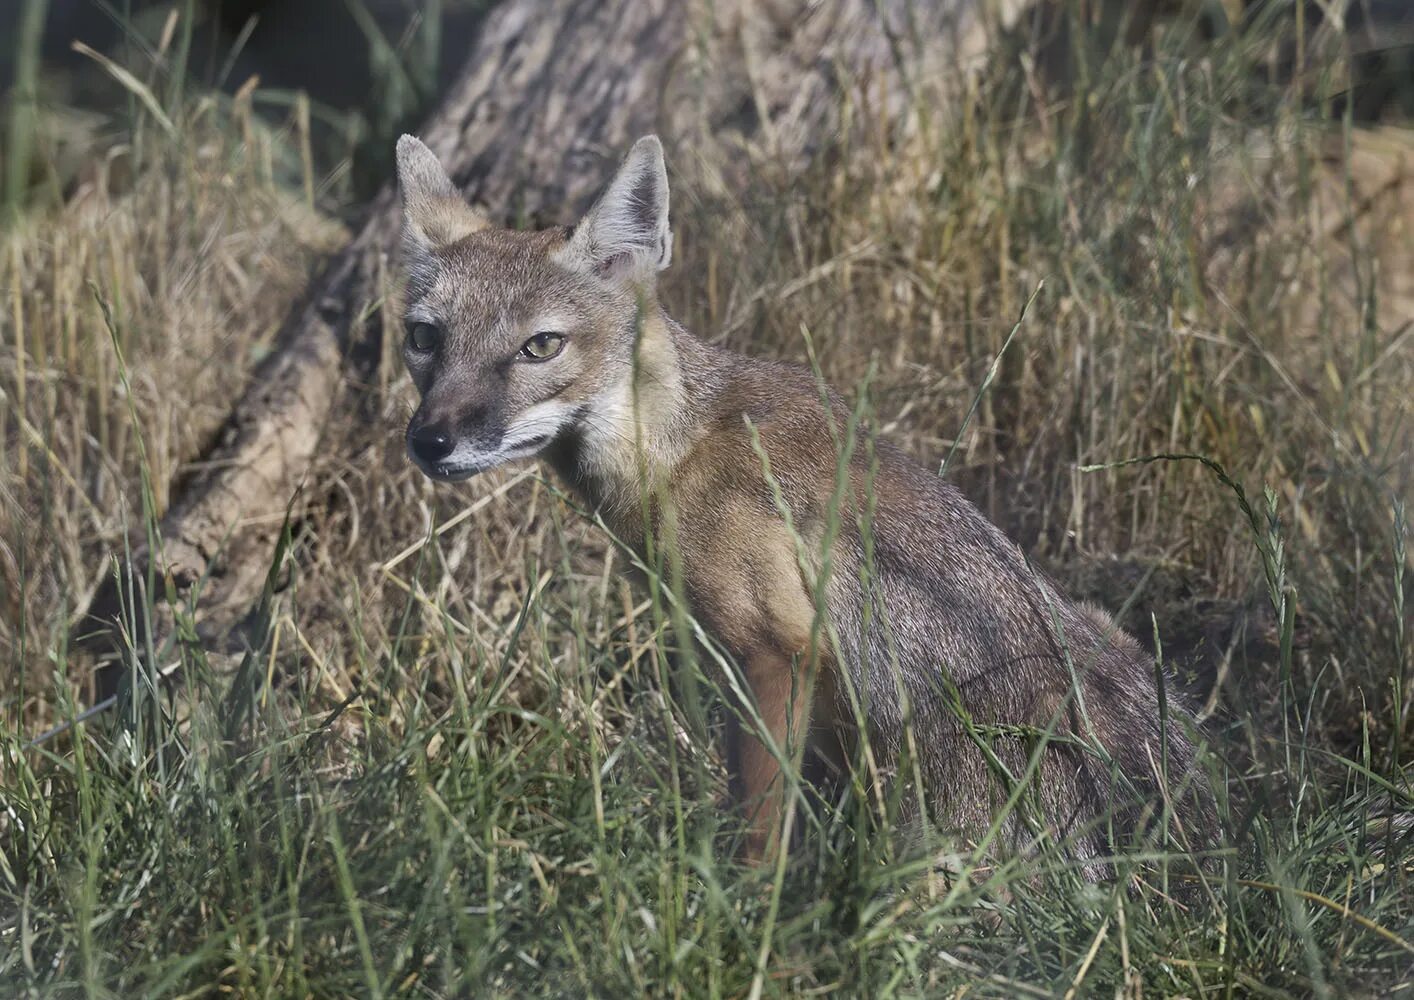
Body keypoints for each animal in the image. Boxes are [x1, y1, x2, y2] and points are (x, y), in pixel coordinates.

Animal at [393, 132, 1215, 875]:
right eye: (425, 339)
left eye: (540, 347)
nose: (429, 442)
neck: (677, 451)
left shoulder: (777, 653)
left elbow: (760, 830)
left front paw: (744, 911)